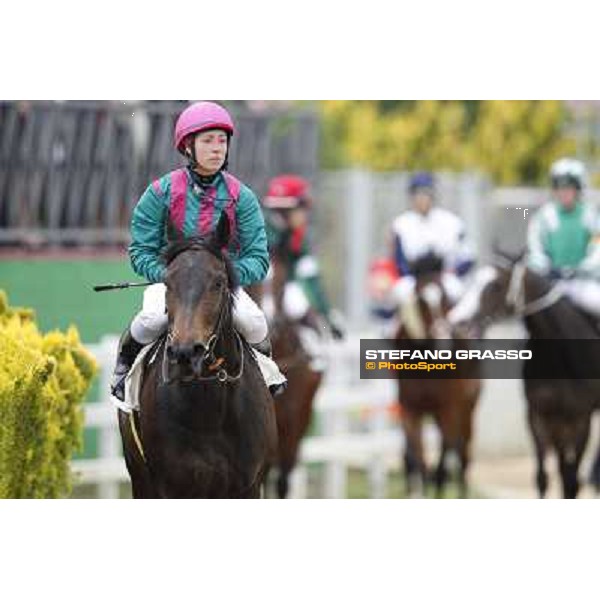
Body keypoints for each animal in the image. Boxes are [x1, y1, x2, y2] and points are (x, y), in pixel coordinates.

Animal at [118, 214, 278, 496]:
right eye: (167, 282)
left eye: (218, 282)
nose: (185, 352)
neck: (210, 412)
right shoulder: (171, 485)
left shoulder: (248, 485)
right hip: (140, 478)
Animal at [394, 255, 482, 500]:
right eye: (420, 299)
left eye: (445, 297)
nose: (443, 341)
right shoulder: (410, 409)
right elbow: (419, 457)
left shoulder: (449, 407)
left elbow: (446, 453)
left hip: (467, 409)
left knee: (462, 453)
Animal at [450, 255, 600, 500]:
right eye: (471, 281)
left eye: (496, 285)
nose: (457, 322)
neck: (561, 358)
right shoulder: (539, 416)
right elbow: (543, 477)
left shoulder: (581, 419)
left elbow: (572, 480)